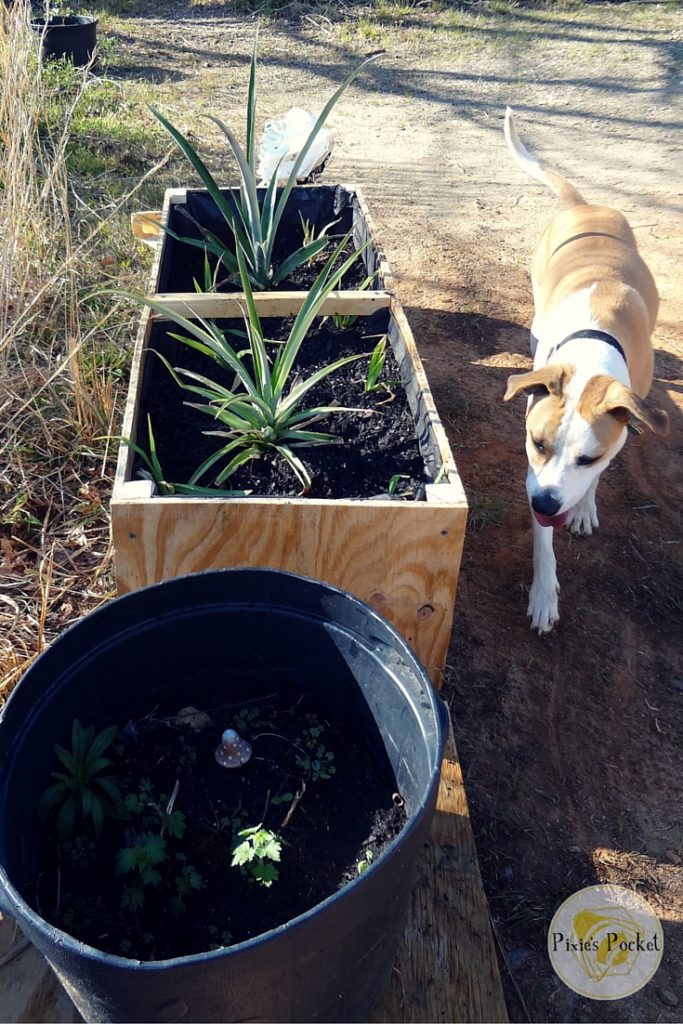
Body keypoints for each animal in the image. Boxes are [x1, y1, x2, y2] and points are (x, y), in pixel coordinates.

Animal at [501, 105, 667, 630]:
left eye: (588, 457)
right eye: (537, 443)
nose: (544, 503)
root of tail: (585, 204)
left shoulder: (616, 429)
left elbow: (597, 476)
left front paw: (583, 508)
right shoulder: (534, 472)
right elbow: (543, 544)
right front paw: (544, 594)